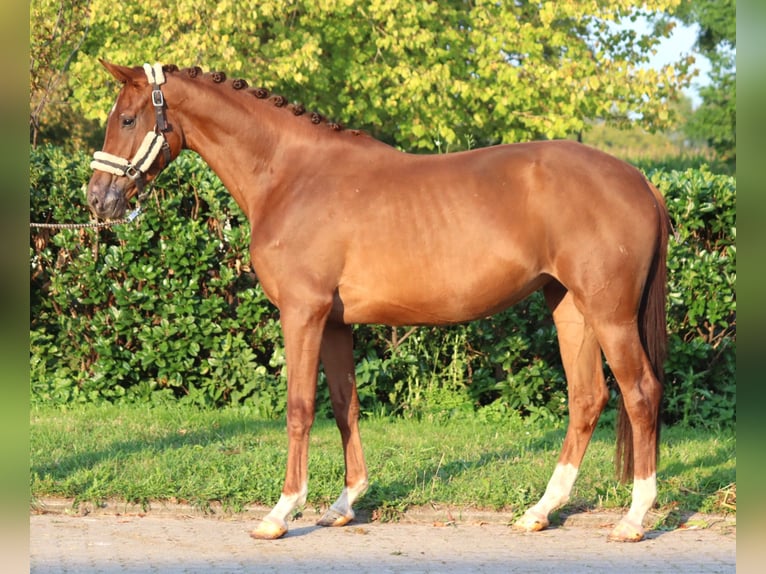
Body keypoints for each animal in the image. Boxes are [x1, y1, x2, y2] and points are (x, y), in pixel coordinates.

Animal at [87, 63, 668, 544]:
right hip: (569, 307)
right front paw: (343, 504)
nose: (97, 200)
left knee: (639, 393)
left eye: (129, 118)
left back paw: (634, 518)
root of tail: (640, 181)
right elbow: (346, 405)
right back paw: (540, 511)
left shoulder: (302, 314)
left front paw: (280, 513)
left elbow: (300, 408)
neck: (290, 175)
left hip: (610, 316)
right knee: (587, 398)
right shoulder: (336, 323)